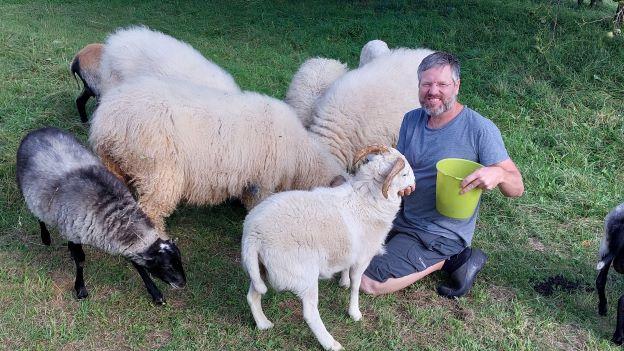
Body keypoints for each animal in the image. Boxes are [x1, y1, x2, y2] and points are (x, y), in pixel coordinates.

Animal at [89, 75, 346, 232]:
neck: (301, 155)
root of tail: (106, 120)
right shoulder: (263, 180)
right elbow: (257, 202)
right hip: (158, 170)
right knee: (152, 208)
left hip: (114, 162)